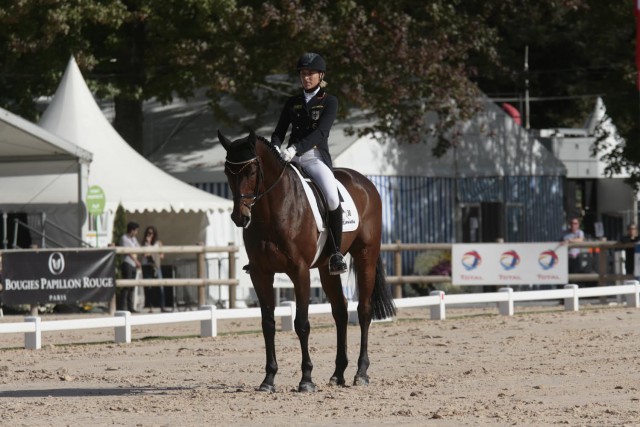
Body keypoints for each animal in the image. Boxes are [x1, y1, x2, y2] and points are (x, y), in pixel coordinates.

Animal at [219, 130, 396, 394]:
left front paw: (306, 379)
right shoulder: (261, 273)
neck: (273, 210)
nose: (240, 217)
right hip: (326, 268)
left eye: (250, 170)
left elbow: (301, 323)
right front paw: (268, 379)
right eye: (227, 172)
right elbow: (268, 323)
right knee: (340, 311)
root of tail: (365, 182)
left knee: (363, 311)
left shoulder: (299, 271)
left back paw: (361, 373)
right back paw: (338, 374)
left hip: (366, 254)